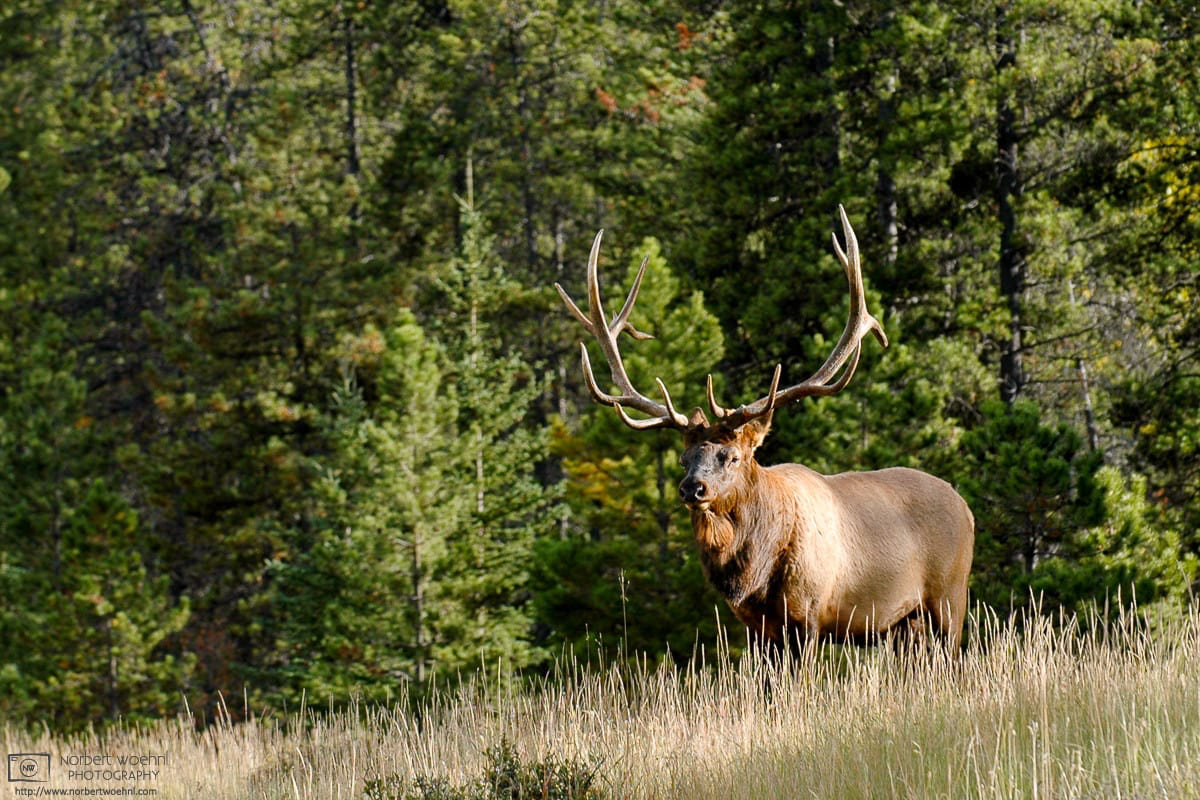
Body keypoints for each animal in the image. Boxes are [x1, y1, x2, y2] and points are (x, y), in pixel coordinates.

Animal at [555, 207, 975, 652]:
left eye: (733, 456)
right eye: (685, 458)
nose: (692, 489)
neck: (756, 573)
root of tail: (966, 509)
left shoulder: (809, 612)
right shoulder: (755, 626)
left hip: (950, 598)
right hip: (904, 624)